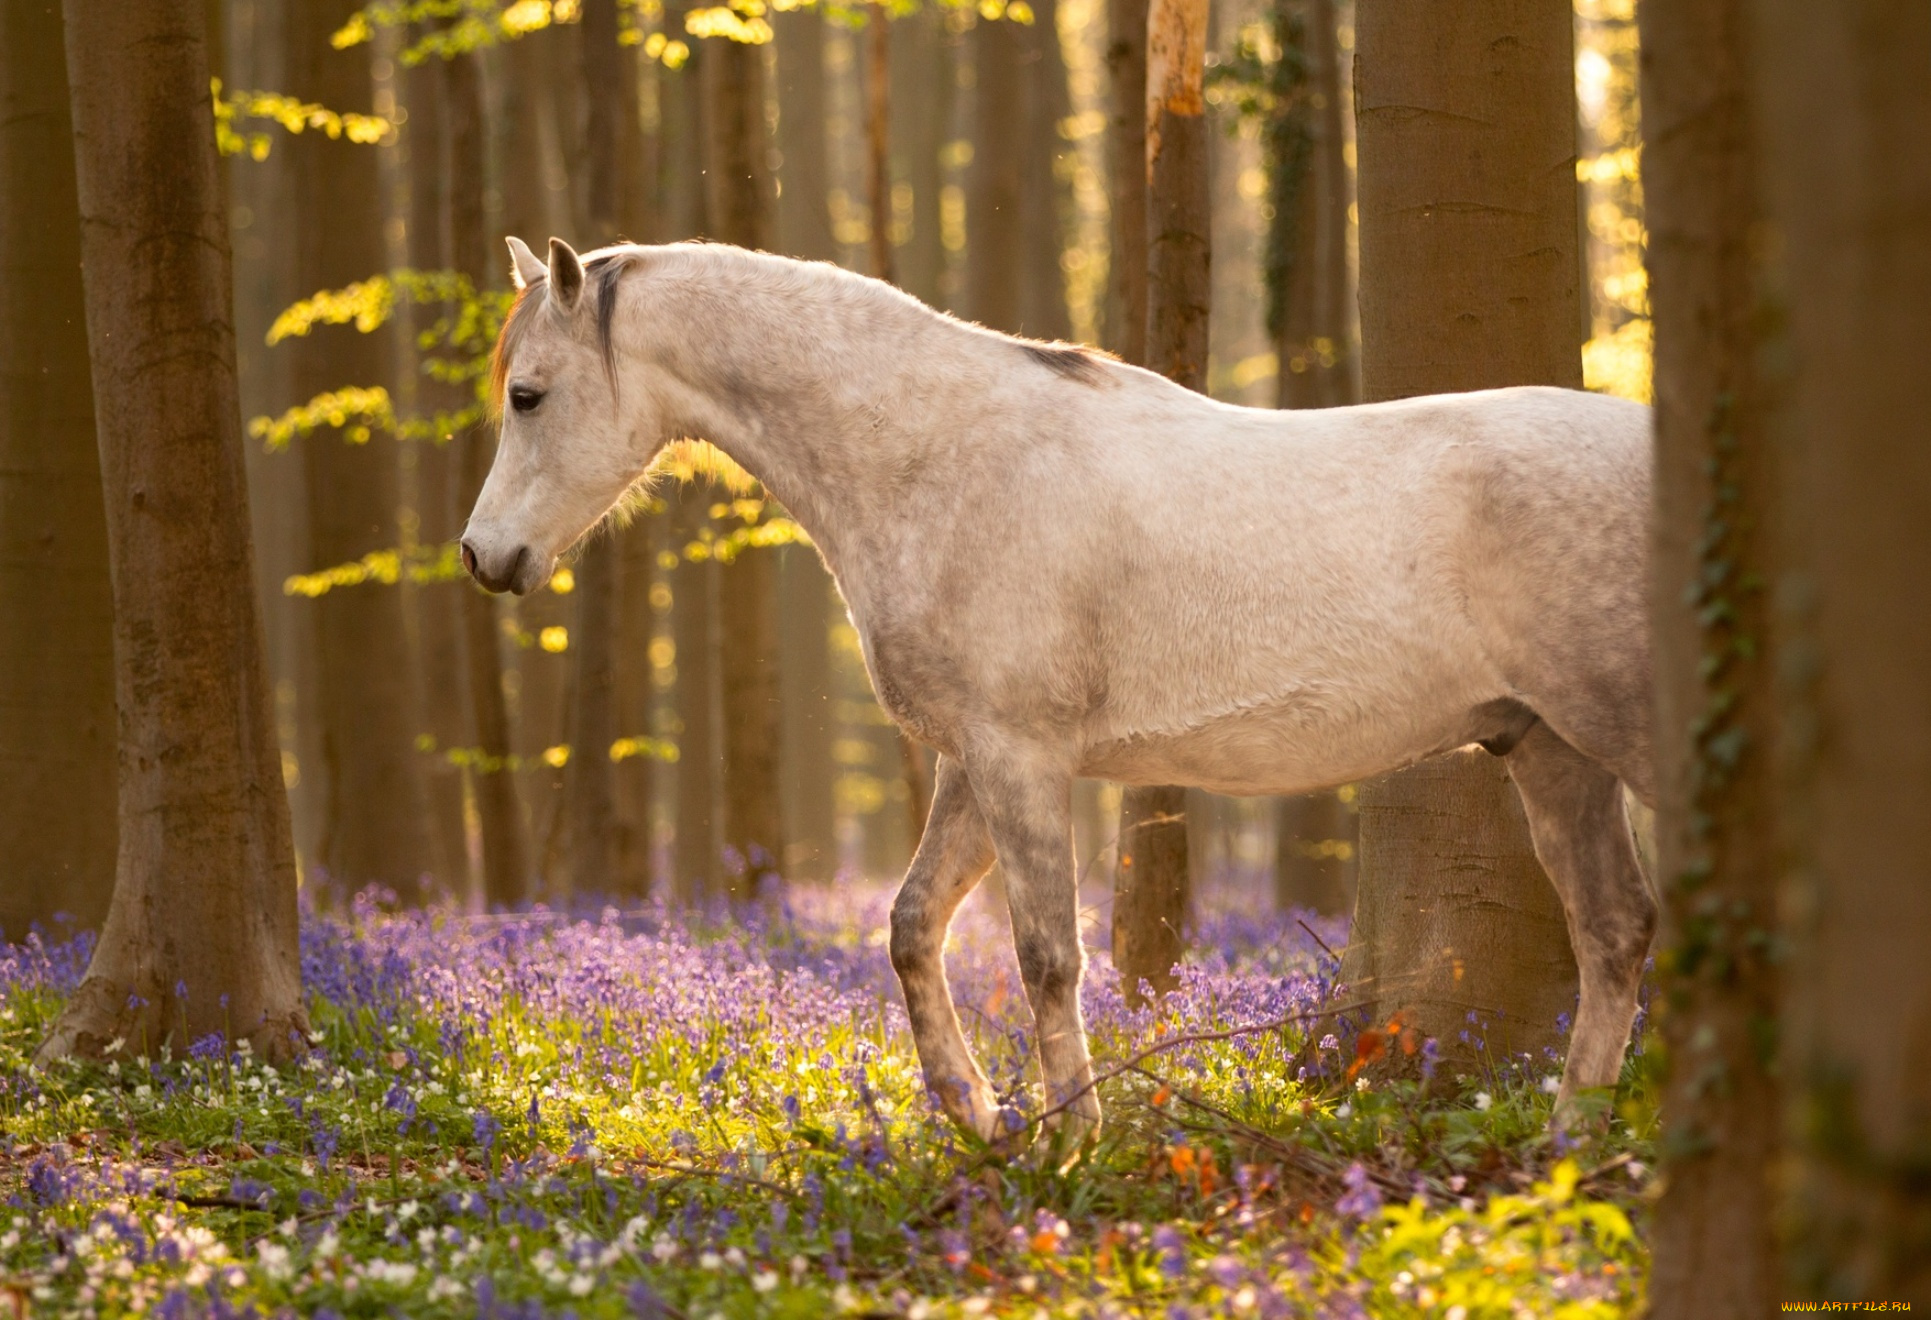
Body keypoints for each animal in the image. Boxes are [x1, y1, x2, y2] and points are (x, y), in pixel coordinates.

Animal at [459, 237, 1652, 1142]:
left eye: (528, 394)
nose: (483, 557)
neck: (935, 457)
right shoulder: (969, 759)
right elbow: (912, 925)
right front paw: (977, 1117)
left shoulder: (1021, 757)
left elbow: (1044, 957)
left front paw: (1071, 1142)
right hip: (1553, 753)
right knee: (1613, 935)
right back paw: (1567, 1143)